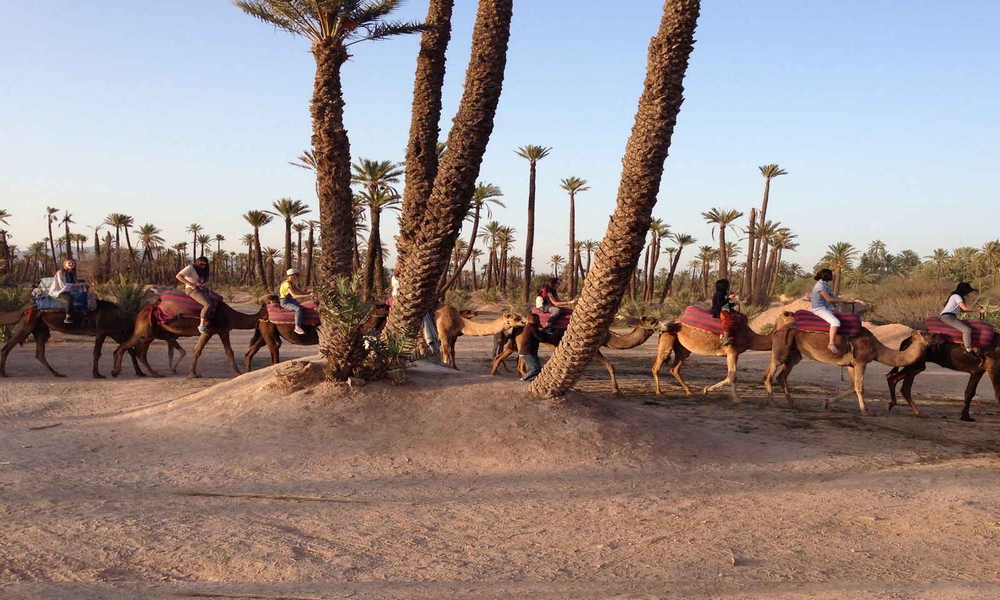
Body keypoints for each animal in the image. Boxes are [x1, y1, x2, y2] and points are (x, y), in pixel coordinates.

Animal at [0, 302, 185, 382]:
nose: (172, 336)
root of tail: (25, 307)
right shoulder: (102, 332)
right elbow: (98, 352)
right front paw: (98, 374)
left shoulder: (116, 333)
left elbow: (128, 350)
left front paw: (138, 372)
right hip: (28, 324)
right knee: (8, 347)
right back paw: (4, 373)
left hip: (39, 328)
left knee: (39, 352)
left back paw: (57, 374)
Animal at [112, 302, 266, 378]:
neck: (231, 315)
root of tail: (141, 312)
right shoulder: (209, 331)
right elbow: (197, 350)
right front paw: (193, 374)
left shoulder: (223, 331)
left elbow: (229, 351)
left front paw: (239, 373)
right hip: (145, 333)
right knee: (125, 347)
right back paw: (116, 371)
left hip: (149, 334)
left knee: (139, 353)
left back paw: (154, 374)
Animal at [492, 314, 664, 394]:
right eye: (652, 321)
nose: (665, 325)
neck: (608, 336)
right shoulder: (592, 347)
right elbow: (607, 366)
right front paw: (615, 390)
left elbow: (611, 366)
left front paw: (617, 389)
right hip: (521, 342)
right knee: (520, 362)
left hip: (516, 344)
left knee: (507, 357)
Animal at [648, 314, 796, 404]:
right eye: (788, 314)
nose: (796, 323)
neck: (750, 338)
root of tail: (669, 323)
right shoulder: (732, 352)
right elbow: (732, 376)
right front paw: (736, 399)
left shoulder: (734, 354)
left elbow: (731, 376)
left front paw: (706, 390)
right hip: (668, 338)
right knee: (657, 366)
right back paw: (659, 392)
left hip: (683, 349)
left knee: (675, 368)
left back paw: (689, 391)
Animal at [760, 324, 940, 418]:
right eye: (927, 334)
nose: (938, 335)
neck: (876, 348)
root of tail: (777, 330)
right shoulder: (860, 361)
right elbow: (860, 387)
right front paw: (865, 410)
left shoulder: (850, 364)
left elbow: (852, 387)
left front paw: (826, 402)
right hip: (781, 350)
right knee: (769, 375)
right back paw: (773, 403)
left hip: (794, 354)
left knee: (782, 376)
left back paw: (792, 403)